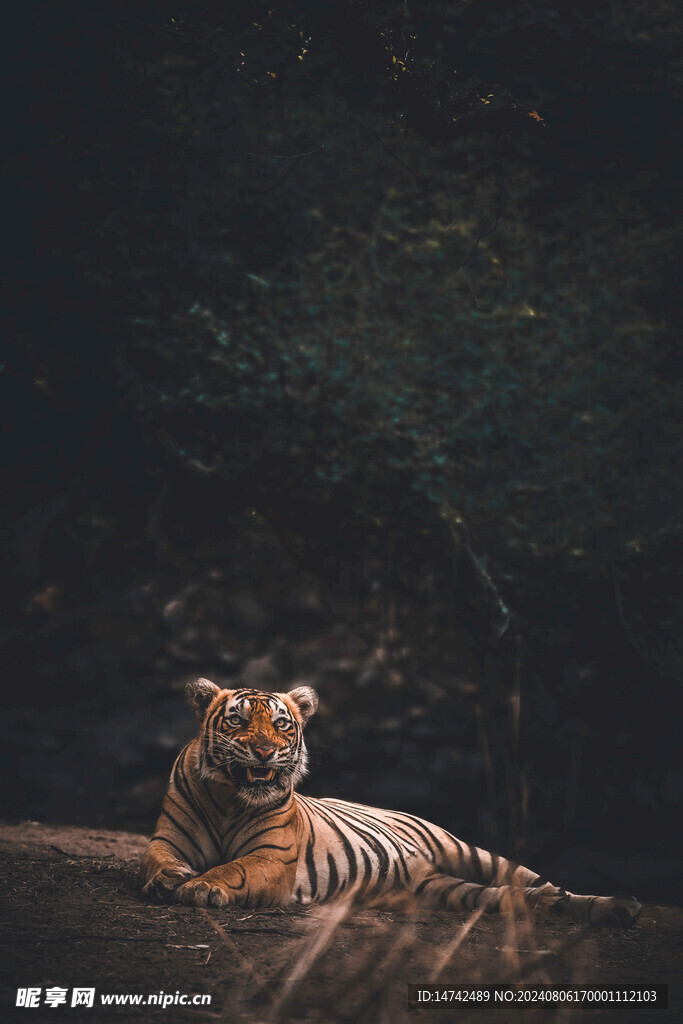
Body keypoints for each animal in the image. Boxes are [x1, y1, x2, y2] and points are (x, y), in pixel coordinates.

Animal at [140, 678, 642, 927]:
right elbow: (156, 859)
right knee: (506, 897)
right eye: (237, 721)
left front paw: (202, 886)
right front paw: (171, 879)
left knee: (539, 881)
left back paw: (613, 906)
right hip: (442, 890)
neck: (229, 799)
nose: (264, 752)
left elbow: (235, 869)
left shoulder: (273, 857)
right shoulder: (168, 838)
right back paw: (552, 907)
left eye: (281, 725)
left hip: (472, 852)